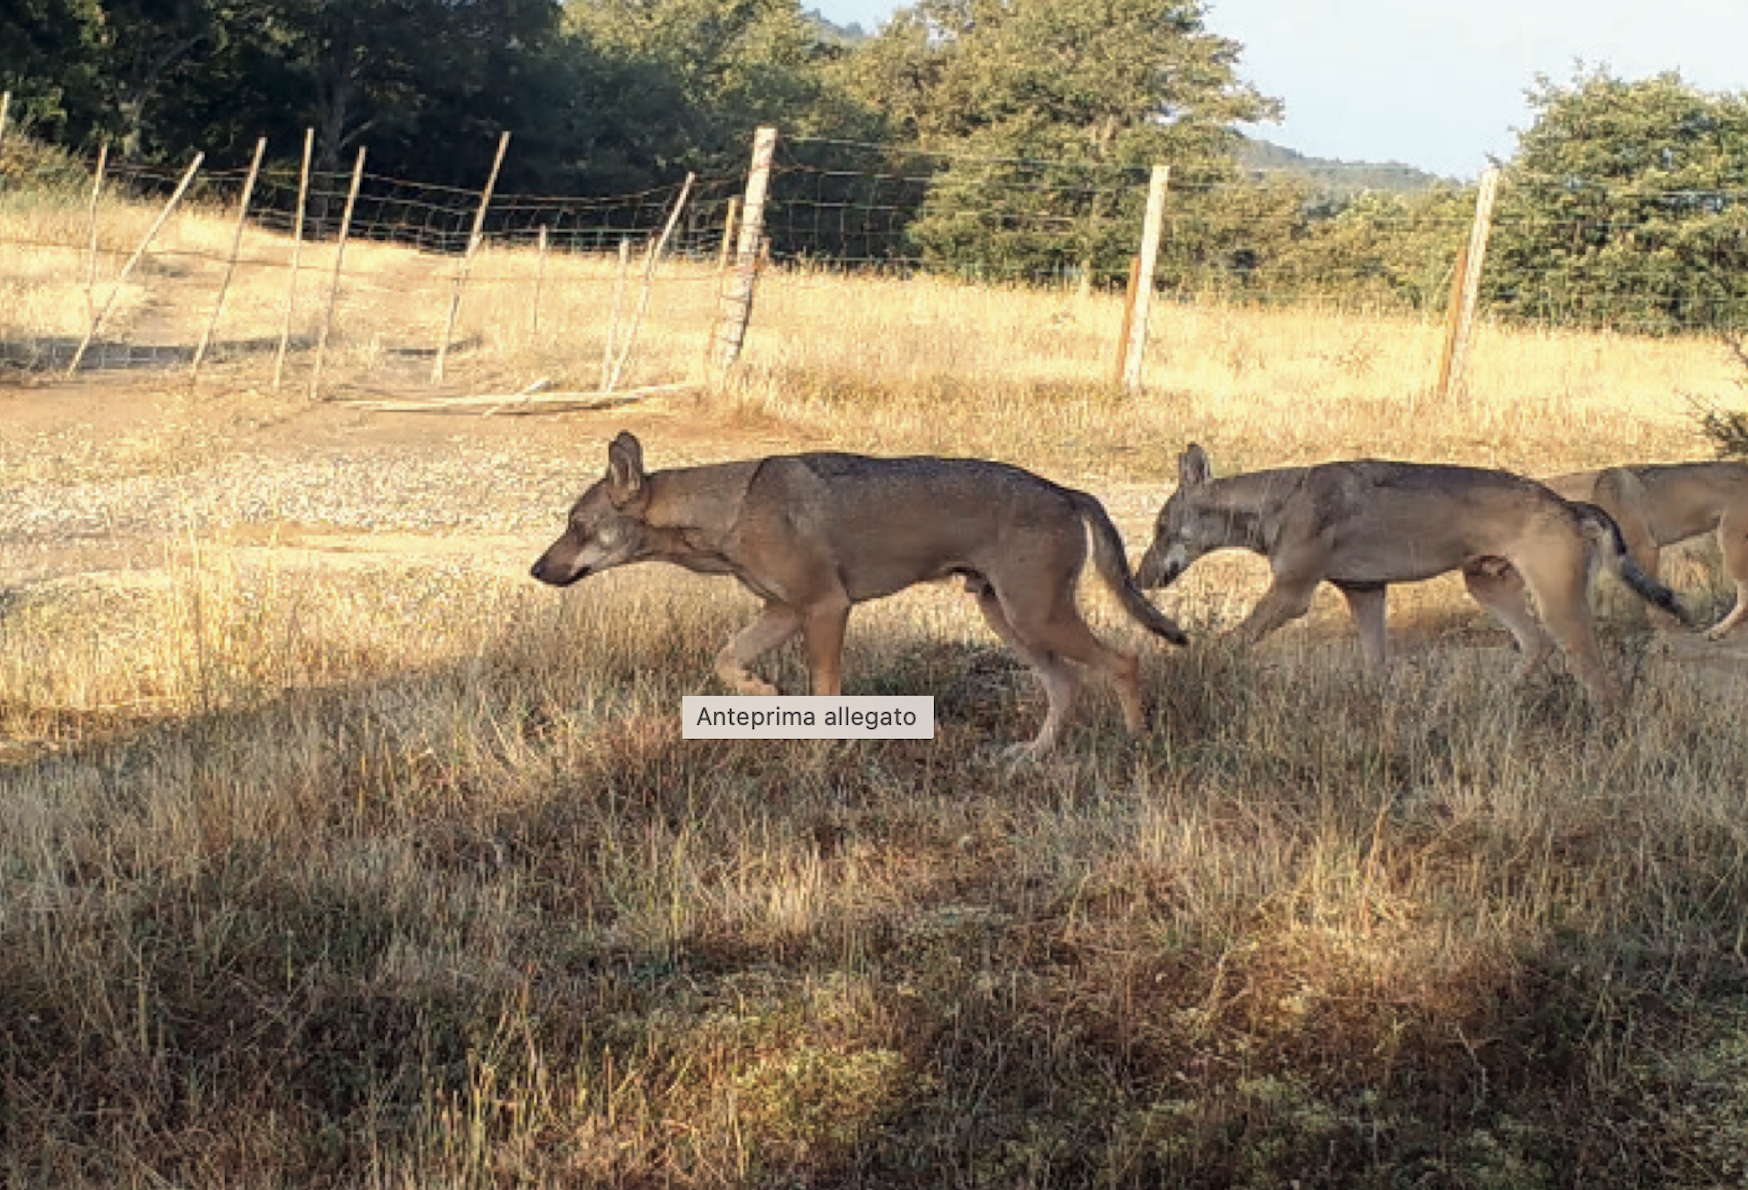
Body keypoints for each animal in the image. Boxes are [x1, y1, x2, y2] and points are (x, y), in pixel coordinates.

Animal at [531, 432, 1189, 757]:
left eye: (575, 524)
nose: (537, 570)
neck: (733, 509)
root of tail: (1066, 489)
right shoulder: (782, 612)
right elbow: (726, 661)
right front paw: (764, 693)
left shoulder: (825, 610)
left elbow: (825, 697)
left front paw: (825, 754)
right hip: (1011, 621)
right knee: (1068, 685)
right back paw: (1032, 755)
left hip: (1036, 619)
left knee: (1124, 661)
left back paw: (1137, 744)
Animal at [1133, 444, 1692, 706]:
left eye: (1160, 529)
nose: (1138, 579)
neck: (1282, 501)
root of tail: (1572, 505)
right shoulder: (1366, 594)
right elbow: (1377, 668)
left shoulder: (1292, 596)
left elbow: (1224, 643)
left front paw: (1190, 669)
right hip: (1486, 588)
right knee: (1535, 648)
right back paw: (1493, 702)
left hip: (1559, 612)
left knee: (1601, 682)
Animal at [1542, 461, 1748, 640]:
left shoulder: (1645, 549)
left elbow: (1652, 600)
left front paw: (1663, 629)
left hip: (1730, 547)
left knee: (1744, 600)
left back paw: (1718, 630)